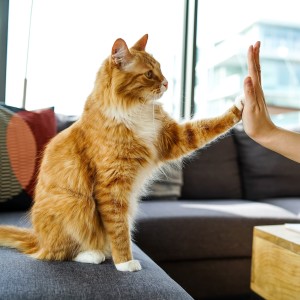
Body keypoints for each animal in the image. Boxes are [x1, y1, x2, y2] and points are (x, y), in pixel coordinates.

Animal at [0, 34, 244, 272]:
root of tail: (38, 239)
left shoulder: (173, 138)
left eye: (161, 69)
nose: (166, 82)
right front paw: (124, 262)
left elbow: (207, 126)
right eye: (149, 74)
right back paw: (93, 254)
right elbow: (118, 228)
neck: (134, 109)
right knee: (58, 253)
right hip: (75, 203)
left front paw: (240, 106)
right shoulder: (111, 185)